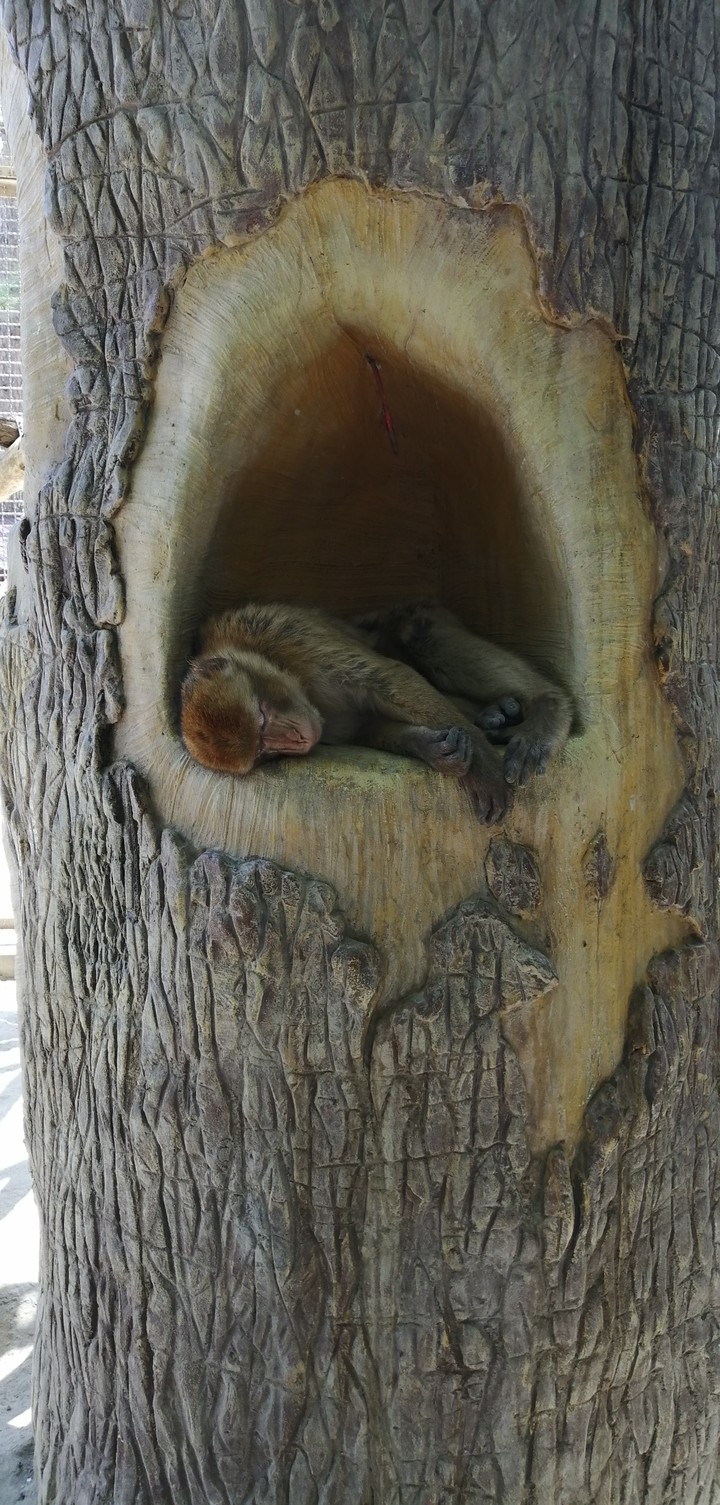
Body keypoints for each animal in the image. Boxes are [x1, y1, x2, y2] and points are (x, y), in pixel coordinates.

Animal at [180, 602, 573, 824]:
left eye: (261, 716)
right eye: (262, 752)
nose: (298, 739)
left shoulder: (286, 635)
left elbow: (389, 678)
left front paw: (483, 767)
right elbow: (368, 725)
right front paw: (433, 749)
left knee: (419, 634)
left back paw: (546, 705)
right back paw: (495, 715)